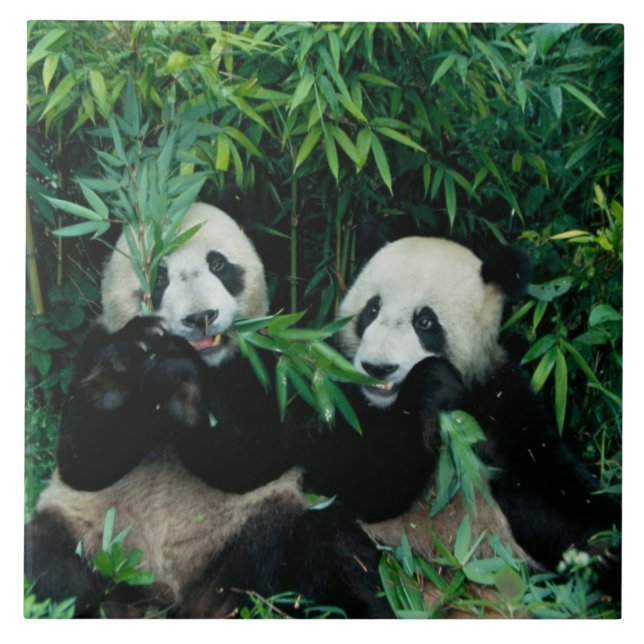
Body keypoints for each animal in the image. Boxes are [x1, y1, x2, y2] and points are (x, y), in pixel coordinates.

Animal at [24, 201, 392, 619]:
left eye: (218, 265)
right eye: (160, 276)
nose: (200, 317)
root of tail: (175, 599)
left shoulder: (269, 363)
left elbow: (259, 454)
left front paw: (180, 379)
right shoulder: (93, 345)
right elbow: (82, 460)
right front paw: (122, 369)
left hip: (259, 528)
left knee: (330, 545)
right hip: (92, 537)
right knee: (48, 563)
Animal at [298, 235, 621, 601]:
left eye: (425, 322)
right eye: (371, 310)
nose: (378, 368)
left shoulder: (499, 402)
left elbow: (550, 492)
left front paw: (608, 550)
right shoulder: (336, 394)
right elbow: (348, 479)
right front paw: (431, 382)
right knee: (331, 542)